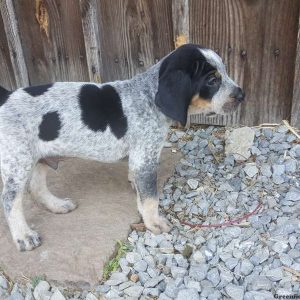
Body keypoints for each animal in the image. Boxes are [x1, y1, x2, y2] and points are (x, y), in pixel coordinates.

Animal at [0, 44, 244, 251]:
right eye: (212, 80)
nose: (242, 95)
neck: (147, 96)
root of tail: (6, 97)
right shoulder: (145, 159)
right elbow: (150, 198)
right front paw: (154, 223)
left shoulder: (140, 159)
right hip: (18, 163)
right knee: (10, 200)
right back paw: (24, 236)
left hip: (41, 156)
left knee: (36, 187)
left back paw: (57, 205)